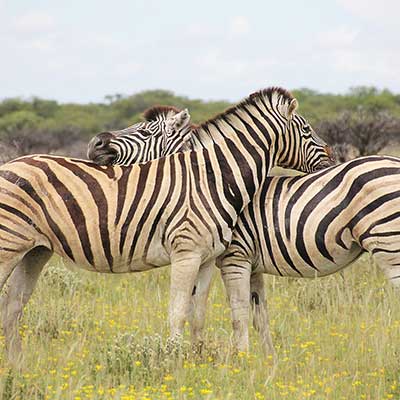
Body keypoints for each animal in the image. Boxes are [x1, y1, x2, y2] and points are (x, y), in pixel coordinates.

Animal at [0, 86, 332, 362]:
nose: (96, 144)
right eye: (306, 128)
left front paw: (198, 361)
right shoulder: (186, 253)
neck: (211, 178)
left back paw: (18, 365)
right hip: (8, 245)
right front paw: (173, 361)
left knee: (13, 306)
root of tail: (10, 163)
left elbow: (198, 314)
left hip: (35, 251)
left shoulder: (207, 258)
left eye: (146, 131)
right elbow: (178, 311)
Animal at [91, 104, 400, 360]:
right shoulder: (253, 265)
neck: (210, 183)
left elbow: (237, 315)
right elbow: (259, 316)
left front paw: (242, 362)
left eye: (143, 131)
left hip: (389, 245)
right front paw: (268, 362)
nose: (95, 144)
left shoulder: (234, 258)